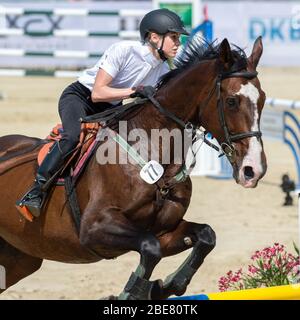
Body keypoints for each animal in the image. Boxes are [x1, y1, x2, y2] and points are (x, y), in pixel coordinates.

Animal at [0, 36, 268, 298]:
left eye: (263, 99)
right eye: (231, 101)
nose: (253, 170)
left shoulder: (165, 231)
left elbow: (205, 236)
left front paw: (167, 286)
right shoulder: (94, 227)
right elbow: (150, 248)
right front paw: (133, 292)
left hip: (19, 259)